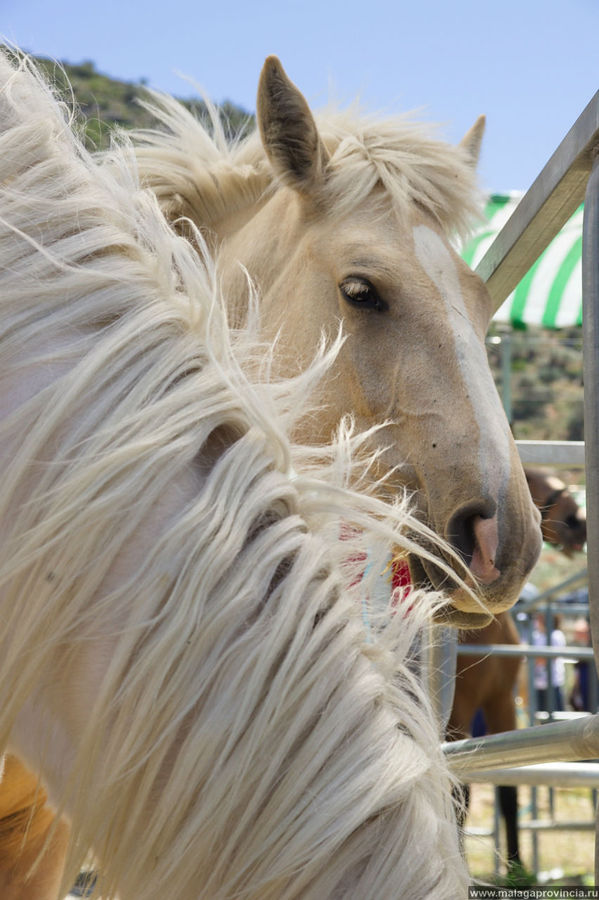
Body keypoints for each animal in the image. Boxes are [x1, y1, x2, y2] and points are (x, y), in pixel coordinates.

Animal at [450, 468, 584, 876]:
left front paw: (517, 867)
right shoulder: (459, 710)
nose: (579, 521)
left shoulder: (501, 702)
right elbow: (460, 789)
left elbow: (508, 789)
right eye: (533, 479)